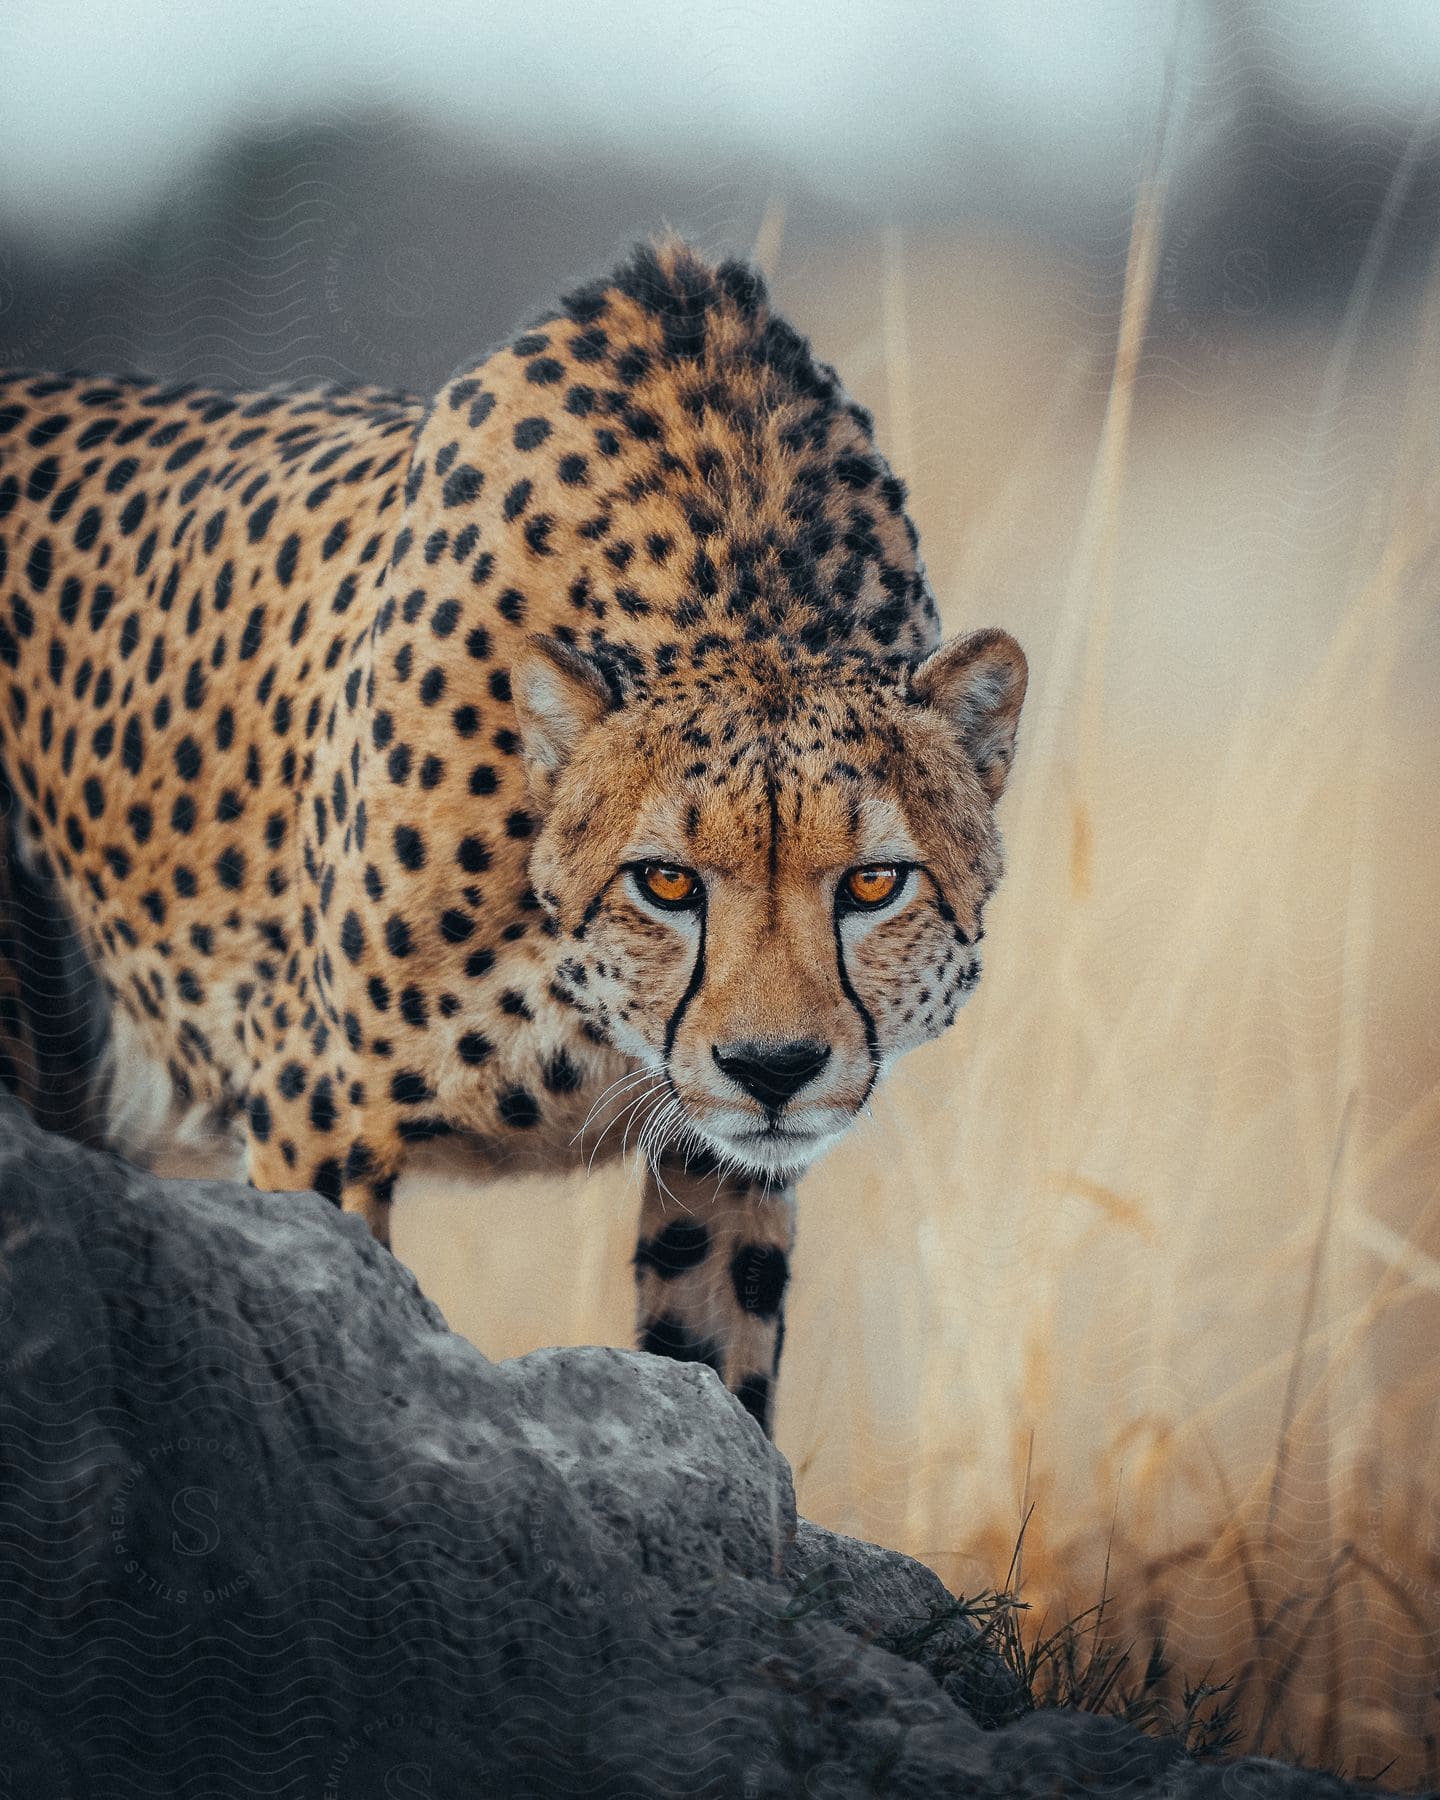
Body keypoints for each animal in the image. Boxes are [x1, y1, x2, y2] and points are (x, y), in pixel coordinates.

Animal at [0, 243, 1022, 1432]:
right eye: (666, 882)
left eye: (870, 885)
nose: (773, 1069)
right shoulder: (312, 1107)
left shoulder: (725, 1166)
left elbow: (719, 1372)